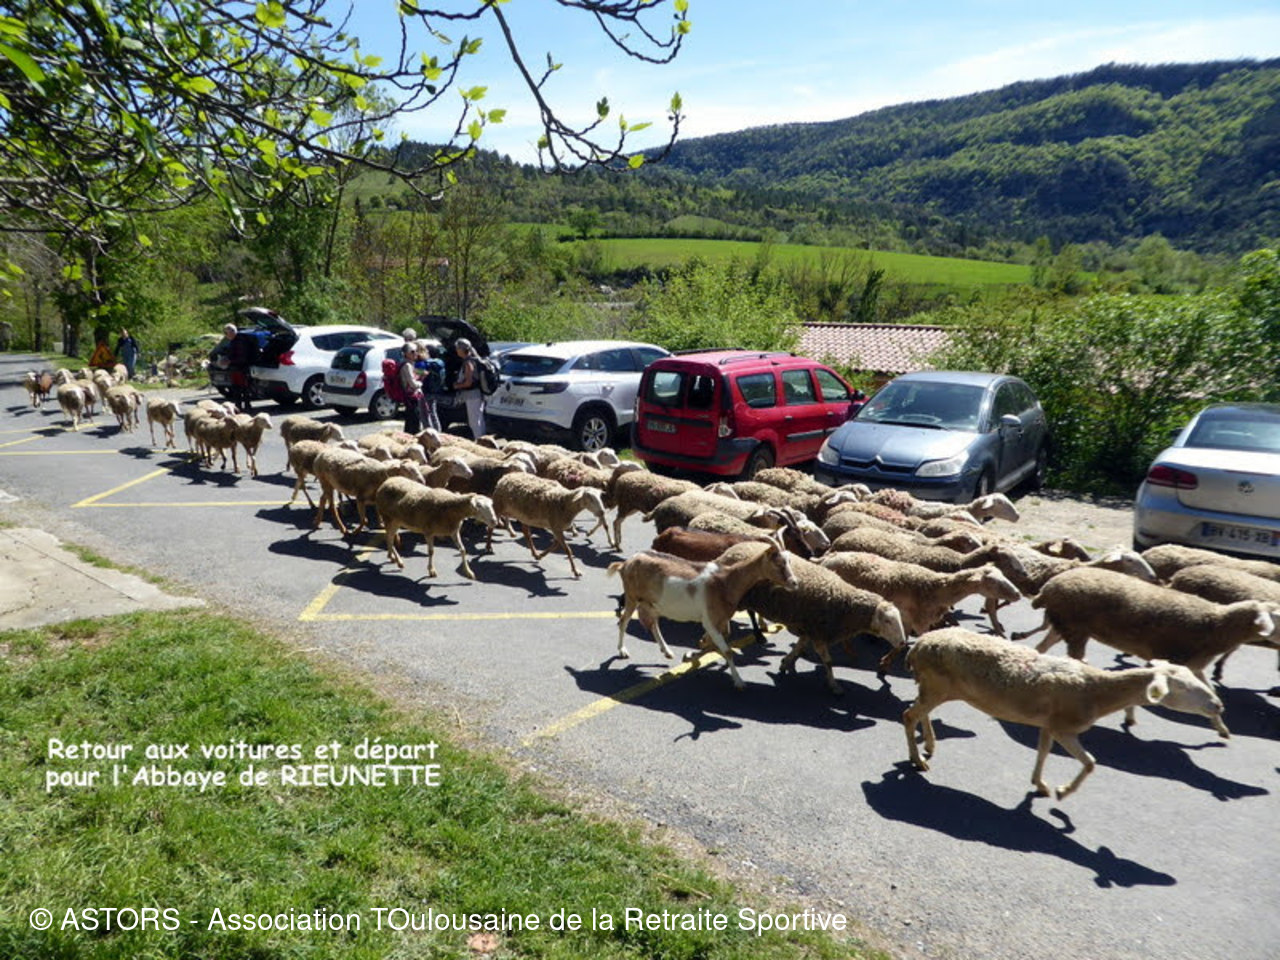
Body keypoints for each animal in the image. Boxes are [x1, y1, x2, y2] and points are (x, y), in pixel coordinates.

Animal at [609, 541, 798, 689]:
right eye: (778, 562)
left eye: (789, 561)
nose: (794, 583)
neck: (725, 581)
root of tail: (626, 564)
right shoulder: (710, 621)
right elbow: (727, 651)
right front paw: (739, 682)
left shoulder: (721, 620)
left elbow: (716, 641)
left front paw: (695, 651)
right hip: (632, 598)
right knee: (623, 621)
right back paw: (622, 651)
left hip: (652, 604)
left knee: (653, 623)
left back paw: (667, 652)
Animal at [731, 551, 907, 694]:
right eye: (887, 621)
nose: (903, 642)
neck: (845, 605)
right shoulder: (818, 632)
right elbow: (828, 661)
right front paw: (834, 686)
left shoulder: (811, 627)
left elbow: (799, 646)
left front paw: (786, 663)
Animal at [819, 552, 1020, 637]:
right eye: (993, 582)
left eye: (1003, 575)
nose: (1017, 594)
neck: (934, 588)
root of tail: (826, 558)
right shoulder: (920, 622)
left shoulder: (910, 619)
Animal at [902, 627, 1226, 800]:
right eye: (1182, 687)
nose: (1217, 705)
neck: (1097, 692)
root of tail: (918, 646)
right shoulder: (1065, 727)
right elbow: (1091, 763)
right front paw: (1063, 791)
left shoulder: (1049, 724)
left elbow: (1043, 752)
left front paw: (1041, 785)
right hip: (937, 685)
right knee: (909, 715)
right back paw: (918, 760)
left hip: (935, 687)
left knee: (919, 712)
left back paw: (929, 745)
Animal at [1020, 566, 1274, 735]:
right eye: (1275, 617)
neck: (1216, 624)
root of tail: (1048, 587)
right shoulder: (1175, 659)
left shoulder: (1191, 666)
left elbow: (1208, 691)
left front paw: (1221, 725)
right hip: (1073, 627)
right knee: (1073, 657)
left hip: (1063, 624)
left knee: (1043, 646)